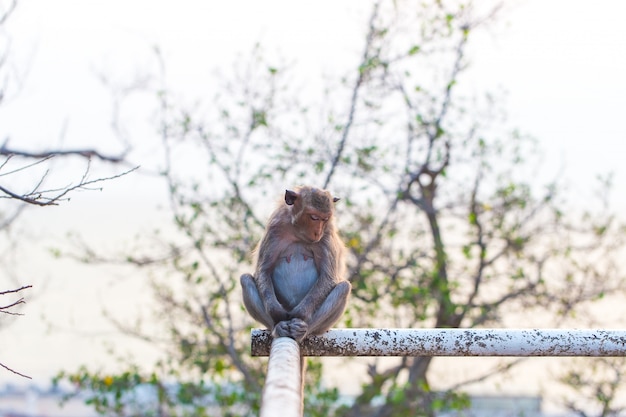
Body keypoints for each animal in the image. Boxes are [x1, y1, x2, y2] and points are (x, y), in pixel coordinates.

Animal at [239, 185, 348, 342]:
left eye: (325, 219)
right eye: (314, 217)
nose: (318, 232)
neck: (298, 233)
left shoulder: (327, 235)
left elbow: (328, 277)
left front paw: (299, 314)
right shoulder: (274, 228)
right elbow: (263, 270)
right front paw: (277, 313)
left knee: (344, 287)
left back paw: (302, 329)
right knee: (246, 279)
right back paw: (278, 327)